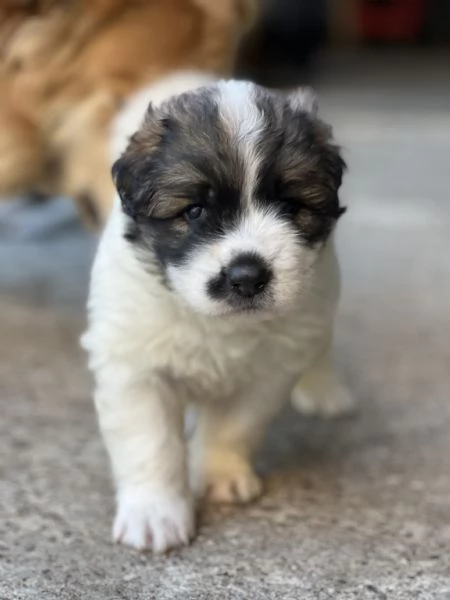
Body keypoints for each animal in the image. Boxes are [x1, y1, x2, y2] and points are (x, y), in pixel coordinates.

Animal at [82, 72, 354, 556]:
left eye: (290, 207)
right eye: (194, 211)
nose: (247, 276)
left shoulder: (269, 372)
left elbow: (235, 426)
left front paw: (220, 475)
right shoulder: (135, 366)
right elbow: (150, 441)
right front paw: (155, 513)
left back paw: (324, 387)